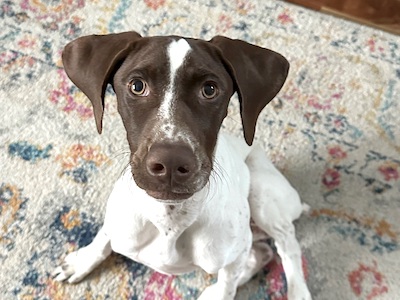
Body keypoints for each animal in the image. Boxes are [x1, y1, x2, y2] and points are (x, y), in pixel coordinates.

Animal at [51, 31, 310, 298]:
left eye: (209, 89)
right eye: (137, 86)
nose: (171, 162)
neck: (169, 219)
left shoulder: (236, 252)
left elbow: (229, 285)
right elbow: (103, 236)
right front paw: (83, 260)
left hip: (262, 195)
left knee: (287, 246)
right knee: (263, 253)